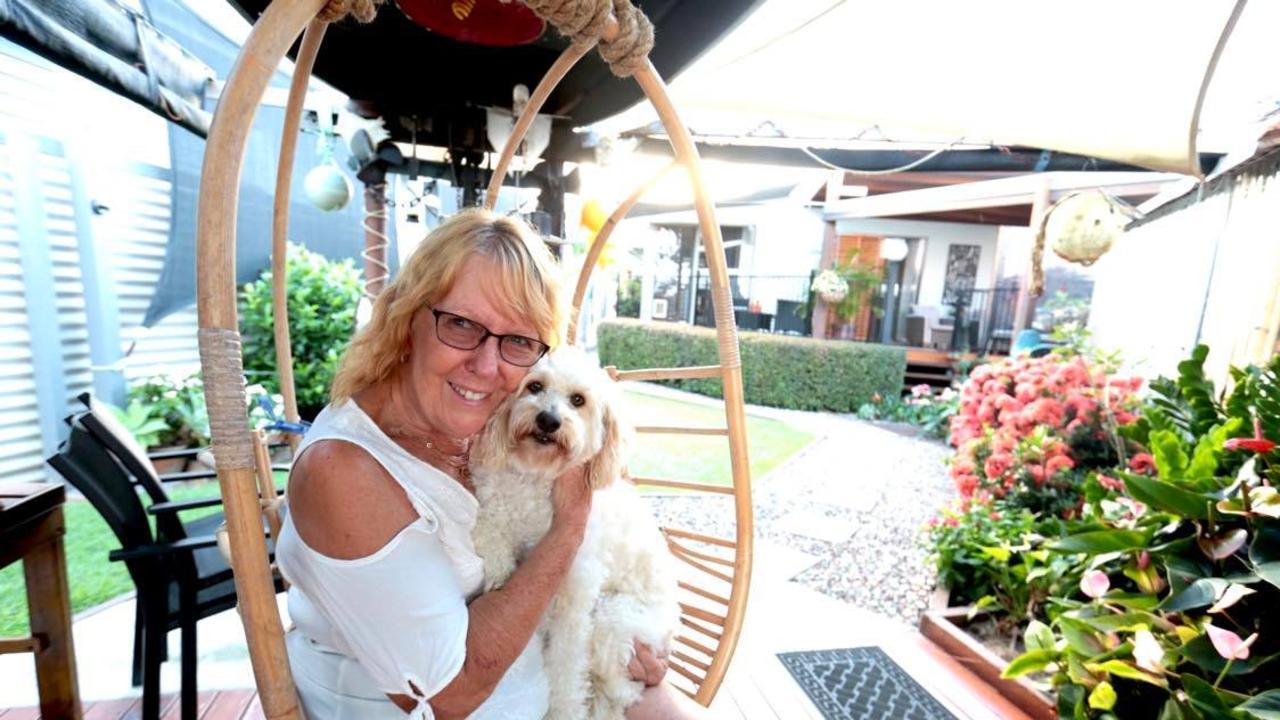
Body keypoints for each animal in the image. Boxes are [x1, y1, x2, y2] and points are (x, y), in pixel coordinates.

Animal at [471, 345, 686, 712]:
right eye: (535, 386)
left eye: (578, 400)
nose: (548, 420)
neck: (537, 477)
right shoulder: (495, 504)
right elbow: (491, 528)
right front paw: (500, 572)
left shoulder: (574, 601)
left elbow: (567, 671)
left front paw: (564, 710)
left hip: (613, 618)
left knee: (620, 686)